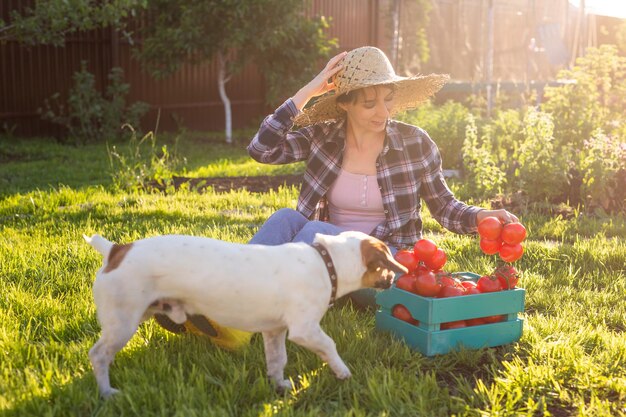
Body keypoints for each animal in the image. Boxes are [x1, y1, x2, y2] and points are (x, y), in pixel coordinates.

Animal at [84, 231, 404, 396]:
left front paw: (279, 385)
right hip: (123, 322)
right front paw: (342, 371)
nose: (394, 279)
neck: (326, 263)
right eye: (387, 262)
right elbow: (329, 346)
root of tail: (116, 250)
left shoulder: (274, 331)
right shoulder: (305, 329)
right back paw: (107, 393)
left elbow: (277, 360)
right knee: (98, 356)